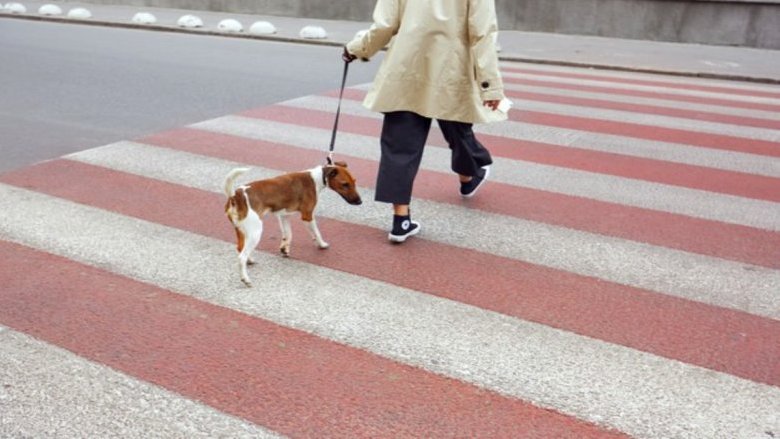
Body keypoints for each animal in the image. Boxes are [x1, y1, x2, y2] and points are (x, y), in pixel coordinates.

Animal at [222, 163, 362, 288]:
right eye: (345, 184)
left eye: (354, 181)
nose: (360, 202)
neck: (316, 178)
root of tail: (236, 196)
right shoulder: (307, 216)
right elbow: (317, 233)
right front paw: (322, 245)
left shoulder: (284, 216)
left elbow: (288, 234)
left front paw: (285, 249)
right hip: (255, 232)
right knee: (241, 257)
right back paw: (246, 279)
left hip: (241, 230)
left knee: (240, 248)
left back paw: (250, 260)